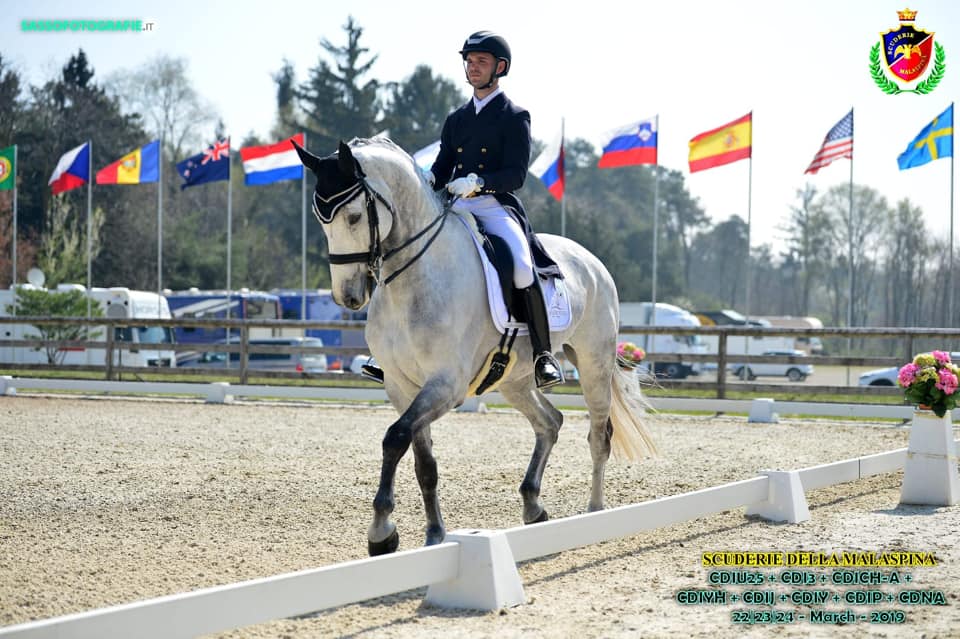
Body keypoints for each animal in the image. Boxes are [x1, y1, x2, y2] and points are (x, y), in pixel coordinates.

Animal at [290, 139, 652, 556]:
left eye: (352, 217)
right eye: (320, 220)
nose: (348, 296)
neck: (416, 278)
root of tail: (590, 259)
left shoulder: (446, 386)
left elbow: (394, 438)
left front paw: (381, 531)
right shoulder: (402, 387)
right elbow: (423, 461)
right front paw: (432, 533)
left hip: (593, 362)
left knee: (598, 435)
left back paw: (594, 512)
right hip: (515, 379)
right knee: (550, 422)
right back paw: (533, 506)